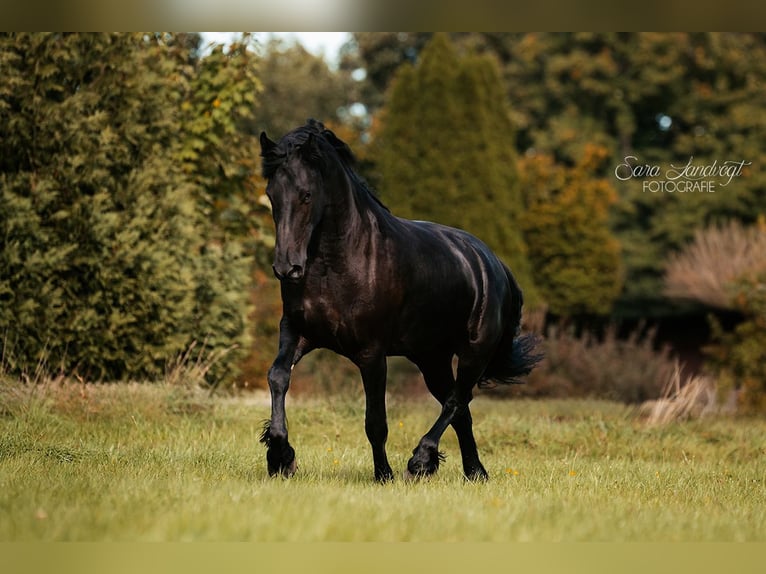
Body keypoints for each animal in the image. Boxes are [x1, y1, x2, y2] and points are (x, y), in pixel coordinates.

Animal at [258, 119, 541, 482]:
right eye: (271, 194)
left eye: (306, 194)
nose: (287, 267)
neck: (338, 261)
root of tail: (494, 264)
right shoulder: (297, 331)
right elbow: (278, 376)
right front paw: (281, 457)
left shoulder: (372, 353)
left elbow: (375, 421)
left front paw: (384, 475)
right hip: (431, 358)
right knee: (460, 409)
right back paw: (474, 472)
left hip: (473, 353)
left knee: (456, 400)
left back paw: (421, 461)